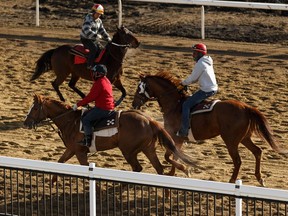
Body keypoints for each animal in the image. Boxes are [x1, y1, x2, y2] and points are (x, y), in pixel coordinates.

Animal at [24, 94, 198, 182]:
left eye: (34, 108)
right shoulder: (72, 149)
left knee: (138, 168)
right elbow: (60, 162)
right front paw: (53, 180)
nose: (26, 123)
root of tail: (149, 120)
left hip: (128, 151)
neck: (71, 121)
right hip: (147, 148)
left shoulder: (80, 152)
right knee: (159, 169)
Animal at [132, 71, 284, 186]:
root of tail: (246, 107)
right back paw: (260, 178)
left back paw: (232, 180)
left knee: (238, 160)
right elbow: (175, 155)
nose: (134, 104)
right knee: (257, 151)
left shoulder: (176, 137)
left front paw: (185, 170)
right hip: (244, 138)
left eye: (140, 88)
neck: (175, 104)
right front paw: (173, 173)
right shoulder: (178, 140)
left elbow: (169, 156)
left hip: (231, 140)